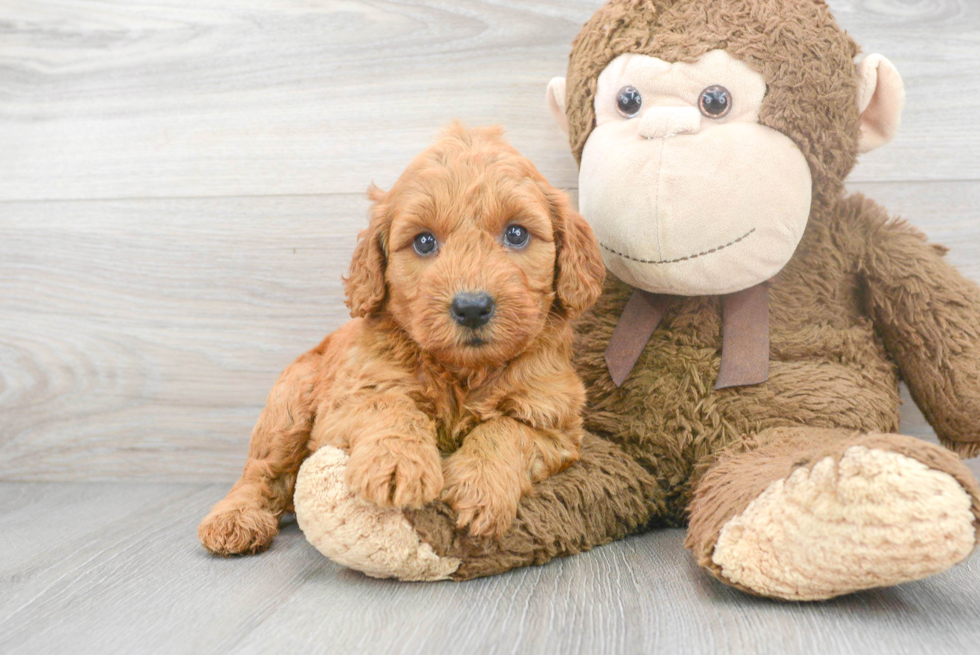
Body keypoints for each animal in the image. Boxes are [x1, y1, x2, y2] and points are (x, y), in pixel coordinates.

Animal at [199, 123, 604, 552]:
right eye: (424, 241)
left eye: (516, 234)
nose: (472, 307)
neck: (463, 372)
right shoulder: (347, 400)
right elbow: (390, 405)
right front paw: (396, 464)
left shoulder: (554, 419)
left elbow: (506, 431)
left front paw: (479, 487)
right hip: (289, 404)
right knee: (260, 472)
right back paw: (234, 519)